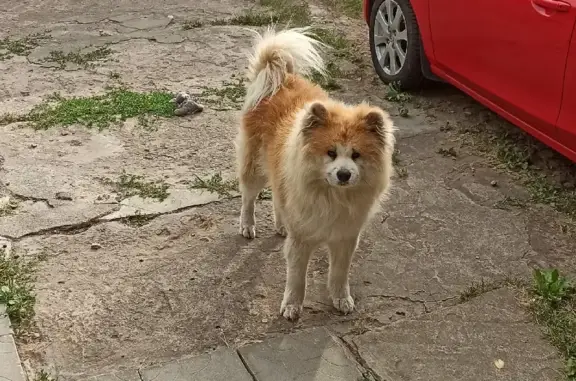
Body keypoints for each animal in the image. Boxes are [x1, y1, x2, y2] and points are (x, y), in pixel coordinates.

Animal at [235, 26, 396, 320]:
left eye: (356, 155)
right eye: (331, 153)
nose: (343, 174)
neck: (333, 196)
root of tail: (279, 76)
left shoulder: (345, 237)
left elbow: (339, 274)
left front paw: (341, 299)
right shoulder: (302, 240)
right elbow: (297, 278)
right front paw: (291, 306)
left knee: (277, 197)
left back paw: (280, 225)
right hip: (255, 168)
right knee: (248, 197)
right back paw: (247, 225)